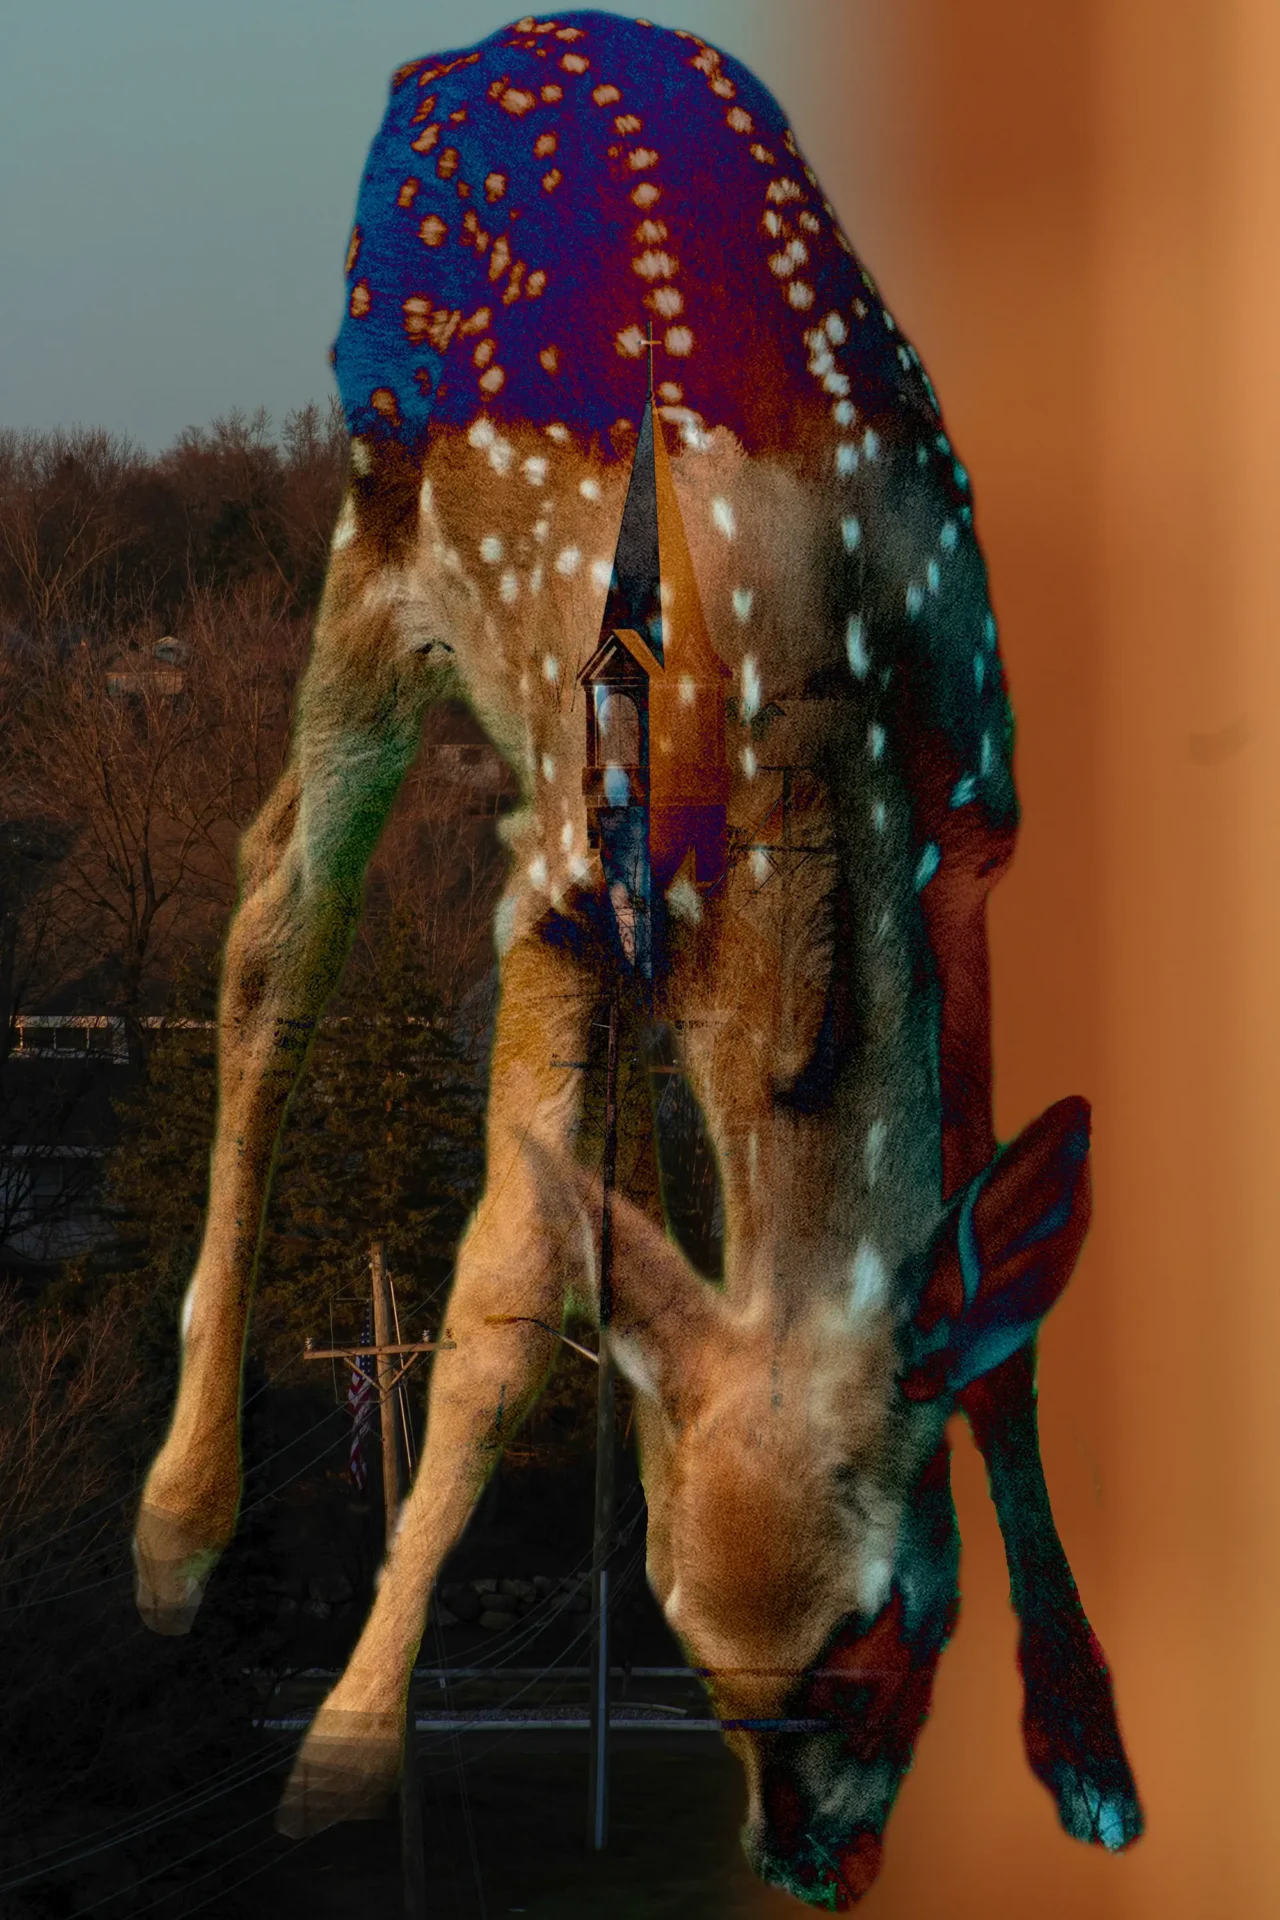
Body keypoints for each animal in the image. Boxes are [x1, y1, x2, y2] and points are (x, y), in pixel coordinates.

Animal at [130, 12, 1142, 1908]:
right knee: (271, 920)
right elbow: (505, 1304)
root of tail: (471, 48)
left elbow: (995, 1288)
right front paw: (346, 1745)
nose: (808, 1858)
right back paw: (173, 1530)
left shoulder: (975, 840)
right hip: (380, 543)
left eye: (892, 1616)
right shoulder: (556, 886)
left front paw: (1090, 1744)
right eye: (692, 1634)